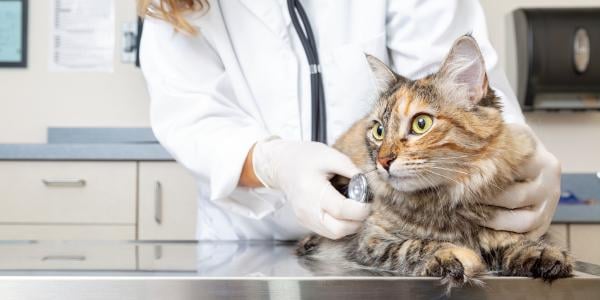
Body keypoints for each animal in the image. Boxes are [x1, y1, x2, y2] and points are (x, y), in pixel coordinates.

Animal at [298, 35, 576, 288]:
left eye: (421, 124)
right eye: (378, 131)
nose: (383, 160)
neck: (446, 200)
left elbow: (512, 241)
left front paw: (539, 252)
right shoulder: (371, 240)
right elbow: (414, 245)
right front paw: (452, 254)